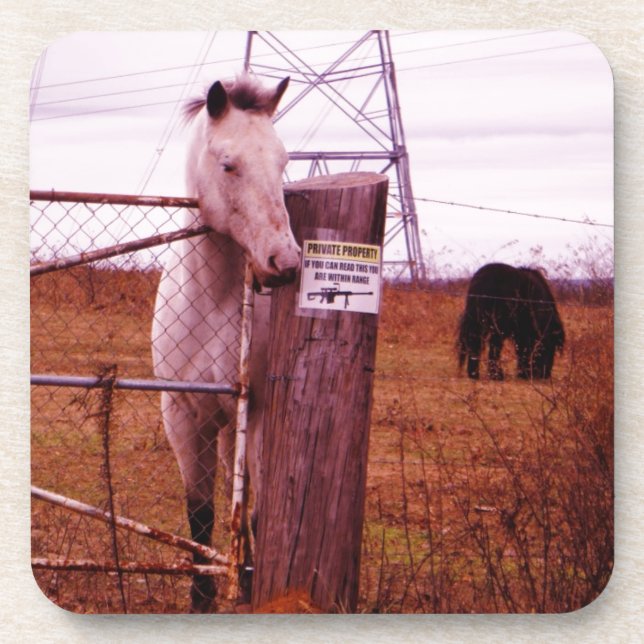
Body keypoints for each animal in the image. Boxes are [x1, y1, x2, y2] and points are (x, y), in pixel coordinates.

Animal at [151, 74, 300, 612]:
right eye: (228, 164)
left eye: (282, 162)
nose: (285, 262)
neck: (214, 301)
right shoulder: (181, 415)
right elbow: (200, 512)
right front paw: (201, 597)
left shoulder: (256, 414)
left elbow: (252, 508)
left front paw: (249, 584)